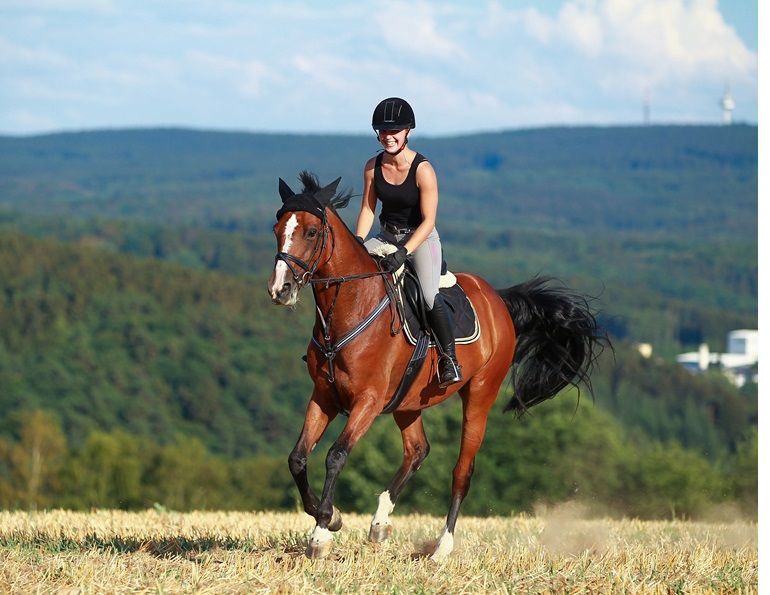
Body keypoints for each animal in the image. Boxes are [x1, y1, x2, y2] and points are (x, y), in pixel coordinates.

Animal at [268, 171, 607, 561]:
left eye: (311, 232)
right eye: (277, 228)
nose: (280, 289)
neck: (350, 307)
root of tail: (499, 301)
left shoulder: (368, 401)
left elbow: (336, 455)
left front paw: (324, 529)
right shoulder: (324, 395)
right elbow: (297, 458)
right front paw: (329, 519)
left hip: (479, 394)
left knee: (462, 469)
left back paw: (442, 547)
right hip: (407, 400)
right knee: (417, 450)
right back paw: (380, 522)